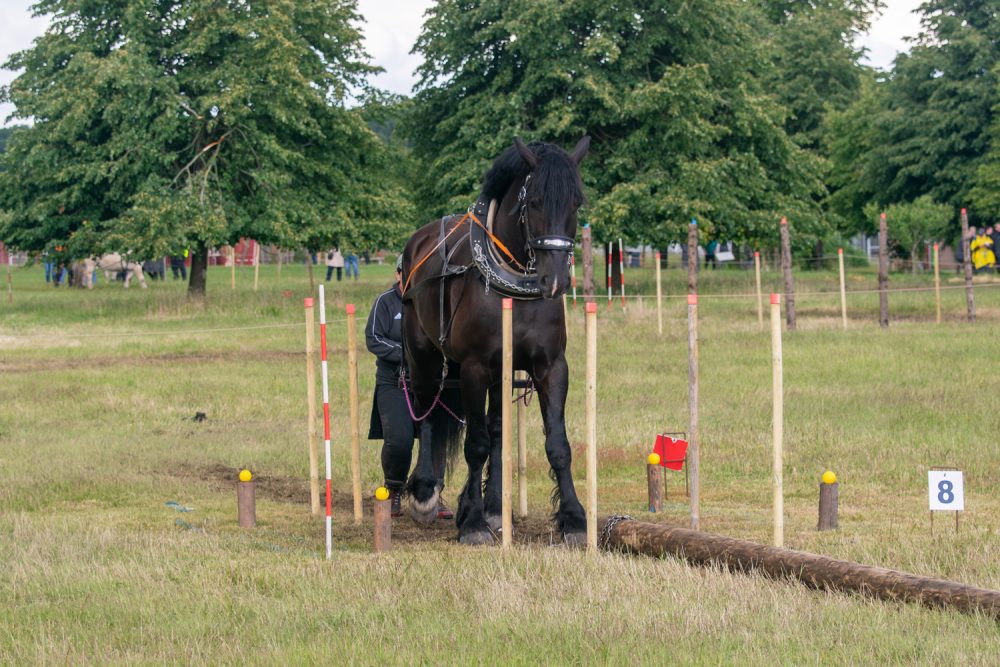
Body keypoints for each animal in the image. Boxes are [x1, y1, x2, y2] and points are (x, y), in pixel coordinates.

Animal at [401, 136, 590, 546]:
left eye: (576, 202)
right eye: (534, 202)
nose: (556, 281)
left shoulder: (551, 366)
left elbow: (557, 444)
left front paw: (573, 519)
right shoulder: (474, 368)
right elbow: (476, 445)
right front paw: (471, 522)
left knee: (498, 429)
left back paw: (495, 507)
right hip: (423, 355)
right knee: (426, 413)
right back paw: (425, 493)